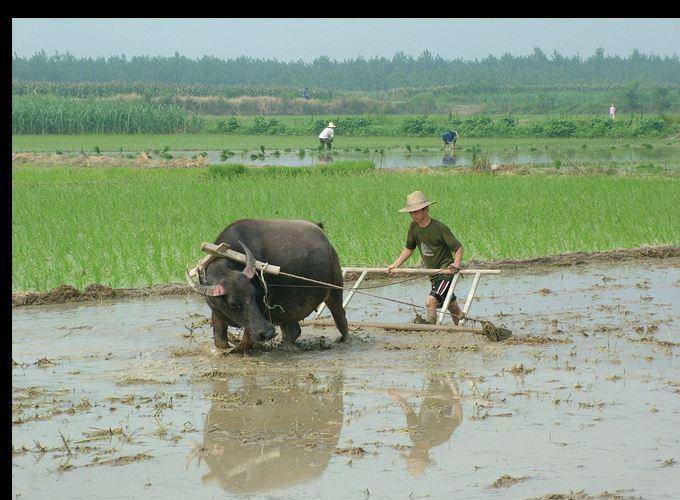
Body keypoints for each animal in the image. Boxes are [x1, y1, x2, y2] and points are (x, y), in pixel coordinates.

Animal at [186, 219, 348, 352]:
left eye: (253, 294)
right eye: (233, 304)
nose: (268, 333)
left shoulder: (261, 308)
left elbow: (246, 340)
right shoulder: (217, 312)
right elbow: (219, 341)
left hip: (335, 291)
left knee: (341, 318)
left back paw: (343, 340)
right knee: (293, 330)